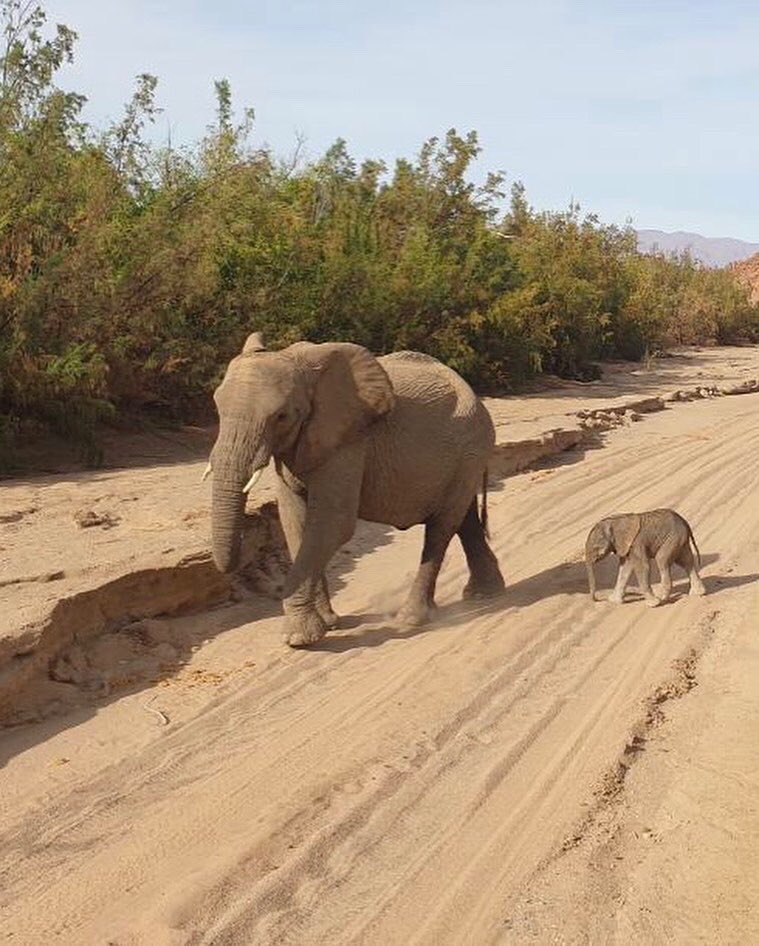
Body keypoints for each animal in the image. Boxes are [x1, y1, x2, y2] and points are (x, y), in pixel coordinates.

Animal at [206, 332, 505, 646]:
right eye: (218, 407)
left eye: (281, 416)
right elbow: (295, 521)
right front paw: (328, 624)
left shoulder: (349, 440)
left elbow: (333, 522)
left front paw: (299, 638)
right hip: (464, 458)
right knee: (464, 519)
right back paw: (483, 594)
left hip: (471, 446)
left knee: (441, 528)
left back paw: (410, 619)